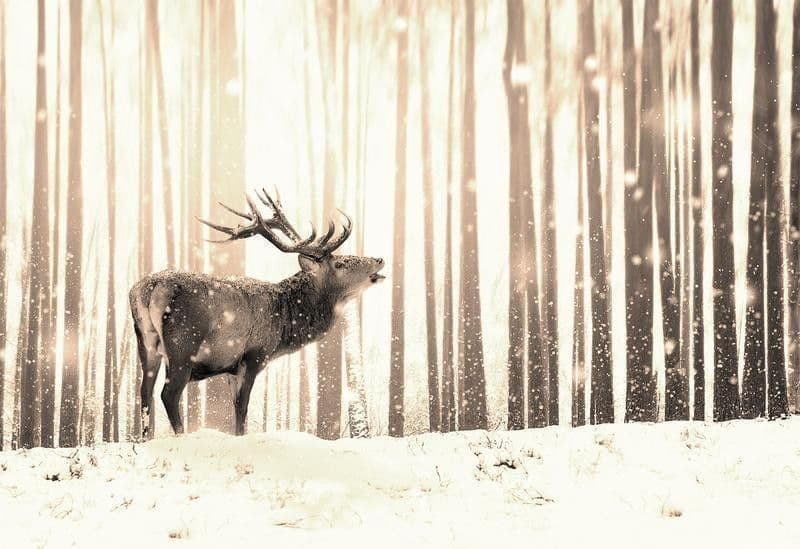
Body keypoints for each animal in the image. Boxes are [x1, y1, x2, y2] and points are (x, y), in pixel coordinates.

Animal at [129, 189, 385, 438]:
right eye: (340, 264)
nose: (379, 259)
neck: (284, 324)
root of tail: (150, 288)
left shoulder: (230, 367)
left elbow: (235, 408)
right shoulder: (254, 354)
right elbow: (242, 407)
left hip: (146, 342)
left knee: (144, 393)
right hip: (183, 343)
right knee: (169, 394)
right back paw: (180, 436)